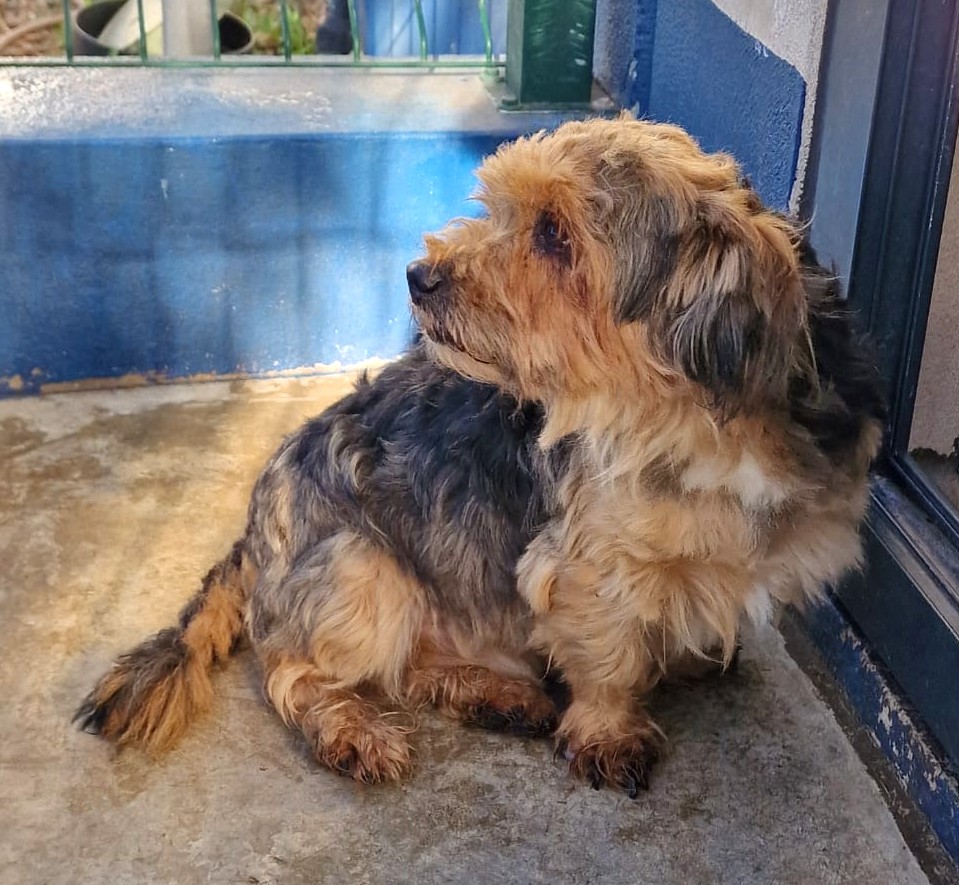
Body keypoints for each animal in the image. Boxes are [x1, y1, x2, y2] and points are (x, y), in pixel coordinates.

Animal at [76, 117, 885, 796]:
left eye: (555, 234)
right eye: (502, 209)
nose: (416, 275)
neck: (691, 422)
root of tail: (252, 527)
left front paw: (687, 654)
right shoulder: (585, 565)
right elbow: (609, 653)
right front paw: (609, 730)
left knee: (412, 667)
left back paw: (492, 693)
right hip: (363, 573)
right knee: (298, 672)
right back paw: (354, 730)